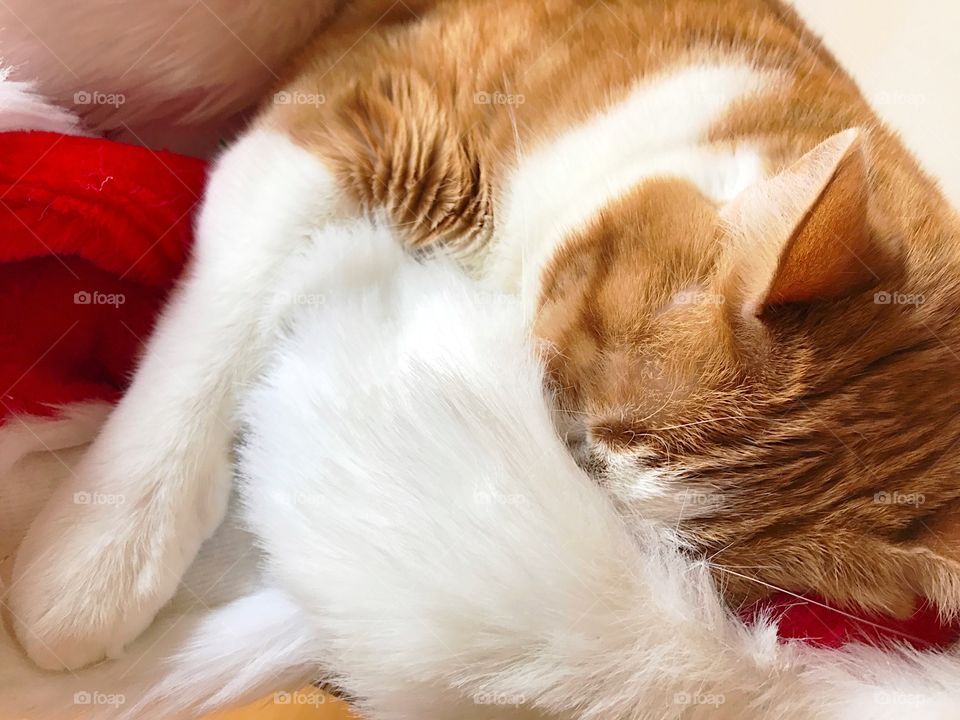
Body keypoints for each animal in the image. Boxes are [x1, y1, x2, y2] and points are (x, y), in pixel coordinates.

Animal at [9, 0, 960, 672]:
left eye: (672, 554)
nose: (561, 472)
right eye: (568, 403)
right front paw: (96, 556)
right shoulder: (348, 121)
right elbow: (216, 333)